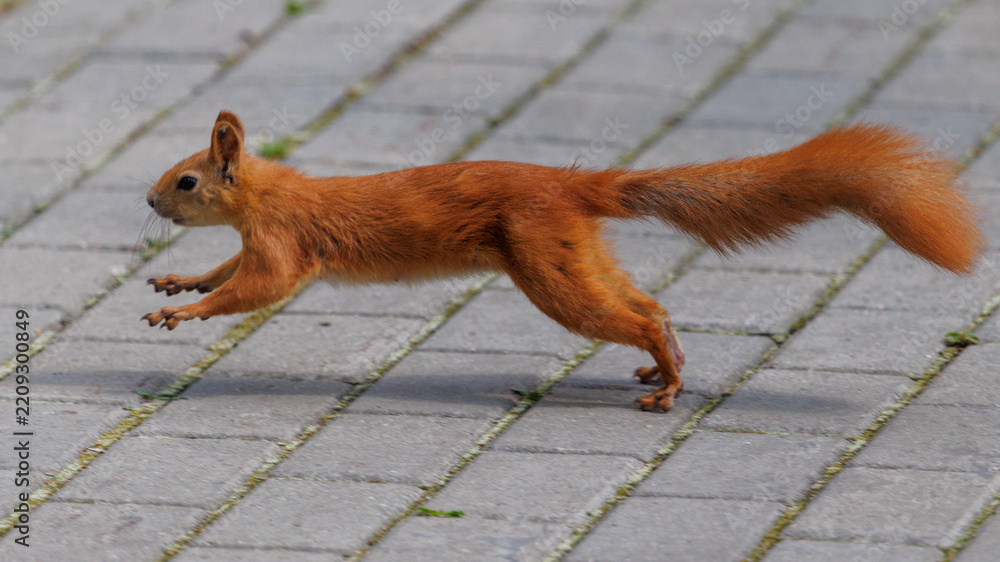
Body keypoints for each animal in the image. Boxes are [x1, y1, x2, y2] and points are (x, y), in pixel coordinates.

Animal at [142, 110, 983, 412]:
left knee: (631, 316)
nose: (148, 200)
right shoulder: (253, 243)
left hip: (546, 267)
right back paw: (663, 366)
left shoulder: (283, 245)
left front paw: (180, 310)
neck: (267, 195)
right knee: (649, 306)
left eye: (186, 180)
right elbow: (229, 276)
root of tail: (574, 186)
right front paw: (180, 279)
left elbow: (255, 291)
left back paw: (666, 381)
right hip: (570, 255)